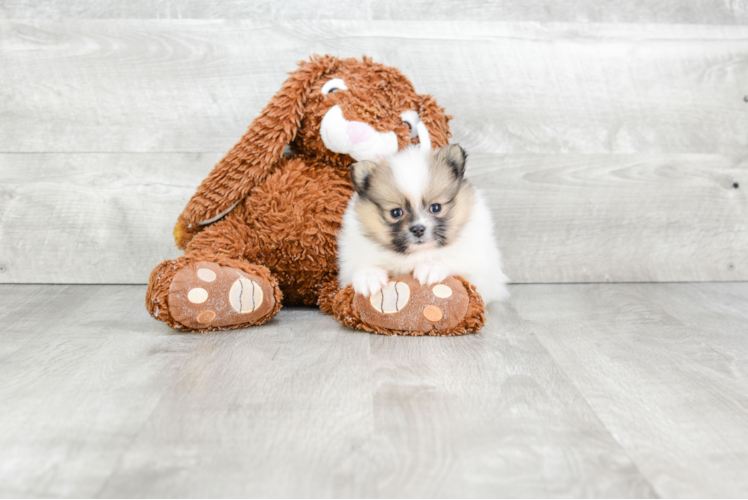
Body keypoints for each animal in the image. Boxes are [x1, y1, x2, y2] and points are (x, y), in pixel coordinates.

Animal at [338, 139, 508, 302]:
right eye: (396, 212)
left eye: (436, 208)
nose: (418, 229)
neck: (418, 254)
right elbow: (363, 264)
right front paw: (369, 277)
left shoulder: (481, 270)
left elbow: (454, 261)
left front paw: (430, 267)